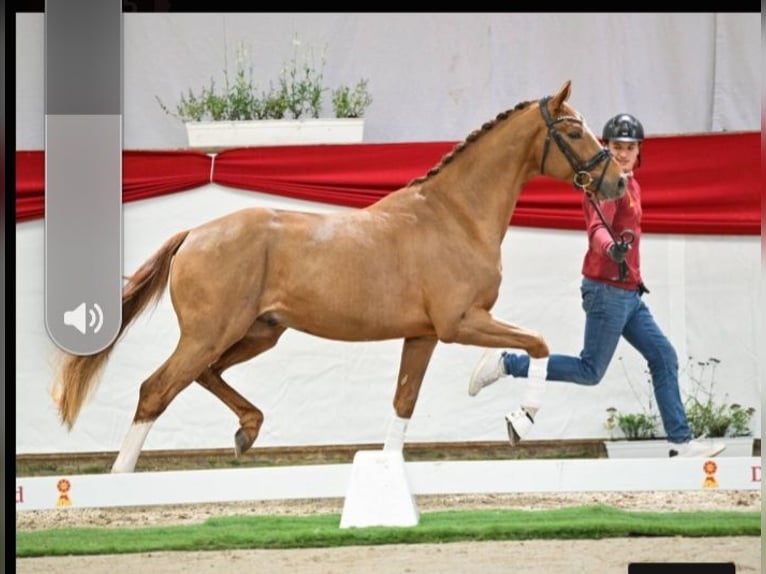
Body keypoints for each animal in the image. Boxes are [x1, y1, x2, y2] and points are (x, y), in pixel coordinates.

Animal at [52, 80, 627, 473]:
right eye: (573, 129)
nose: (618, 181)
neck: (455, 215)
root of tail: (194, 233)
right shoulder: (460, 321)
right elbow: (537, 342)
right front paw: (518, 421)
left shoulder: (423, 335)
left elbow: (404, 402)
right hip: (209, 334)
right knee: (156, 390)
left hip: (256, 334)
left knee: (203, 376)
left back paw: (247, 431)